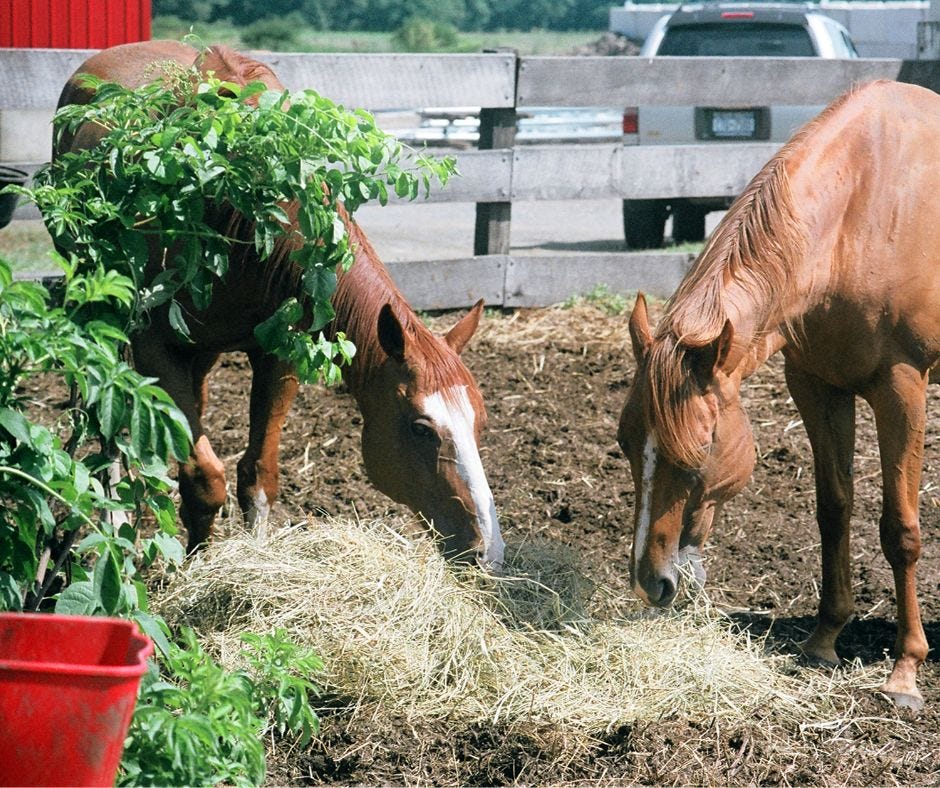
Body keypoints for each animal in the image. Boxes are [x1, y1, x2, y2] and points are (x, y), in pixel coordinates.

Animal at [58, 40, 506, 568]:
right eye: (420, 429)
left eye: (480, 422)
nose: (487, 549)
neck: (238, 210)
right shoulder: (155, 349)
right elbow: (204, 482)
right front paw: (195, 572)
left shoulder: (279, 353)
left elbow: (258, 476)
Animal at [616, 78, 940, 708]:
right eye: (624, 443)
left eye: (699, 452)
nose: (651, 581)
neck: (860, 210)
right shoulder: (817, 387)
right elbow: (833, 509)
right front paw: (823, 640)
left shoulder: (902, 388)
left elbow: (901, 530)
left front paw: (905, 671)